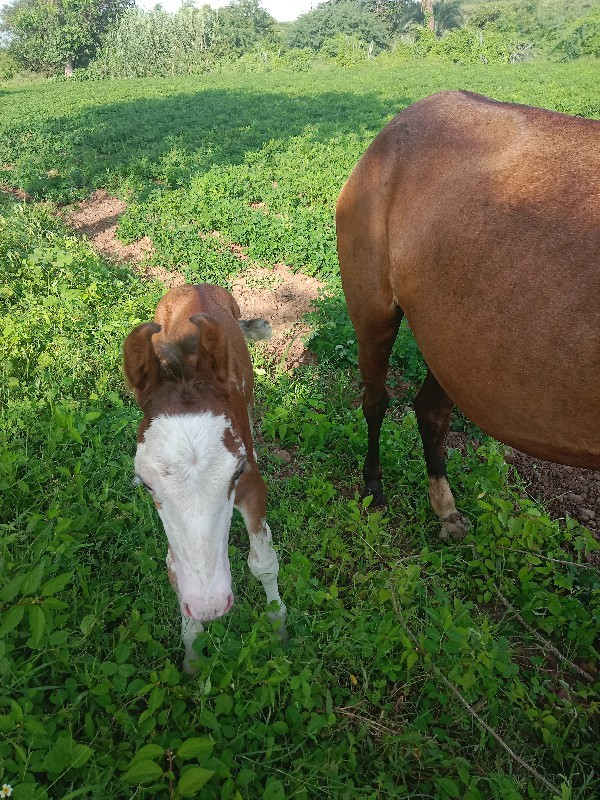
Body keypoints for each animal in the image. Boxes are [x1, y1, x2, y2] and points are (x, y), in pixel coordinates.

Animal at [338, 90, 600, 536]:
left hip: (451, 345)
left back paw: (444, 506)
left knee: (430, 410)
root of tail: (391, 131)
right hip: (374, 317)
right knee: (375, 401)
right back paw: (373, 487)